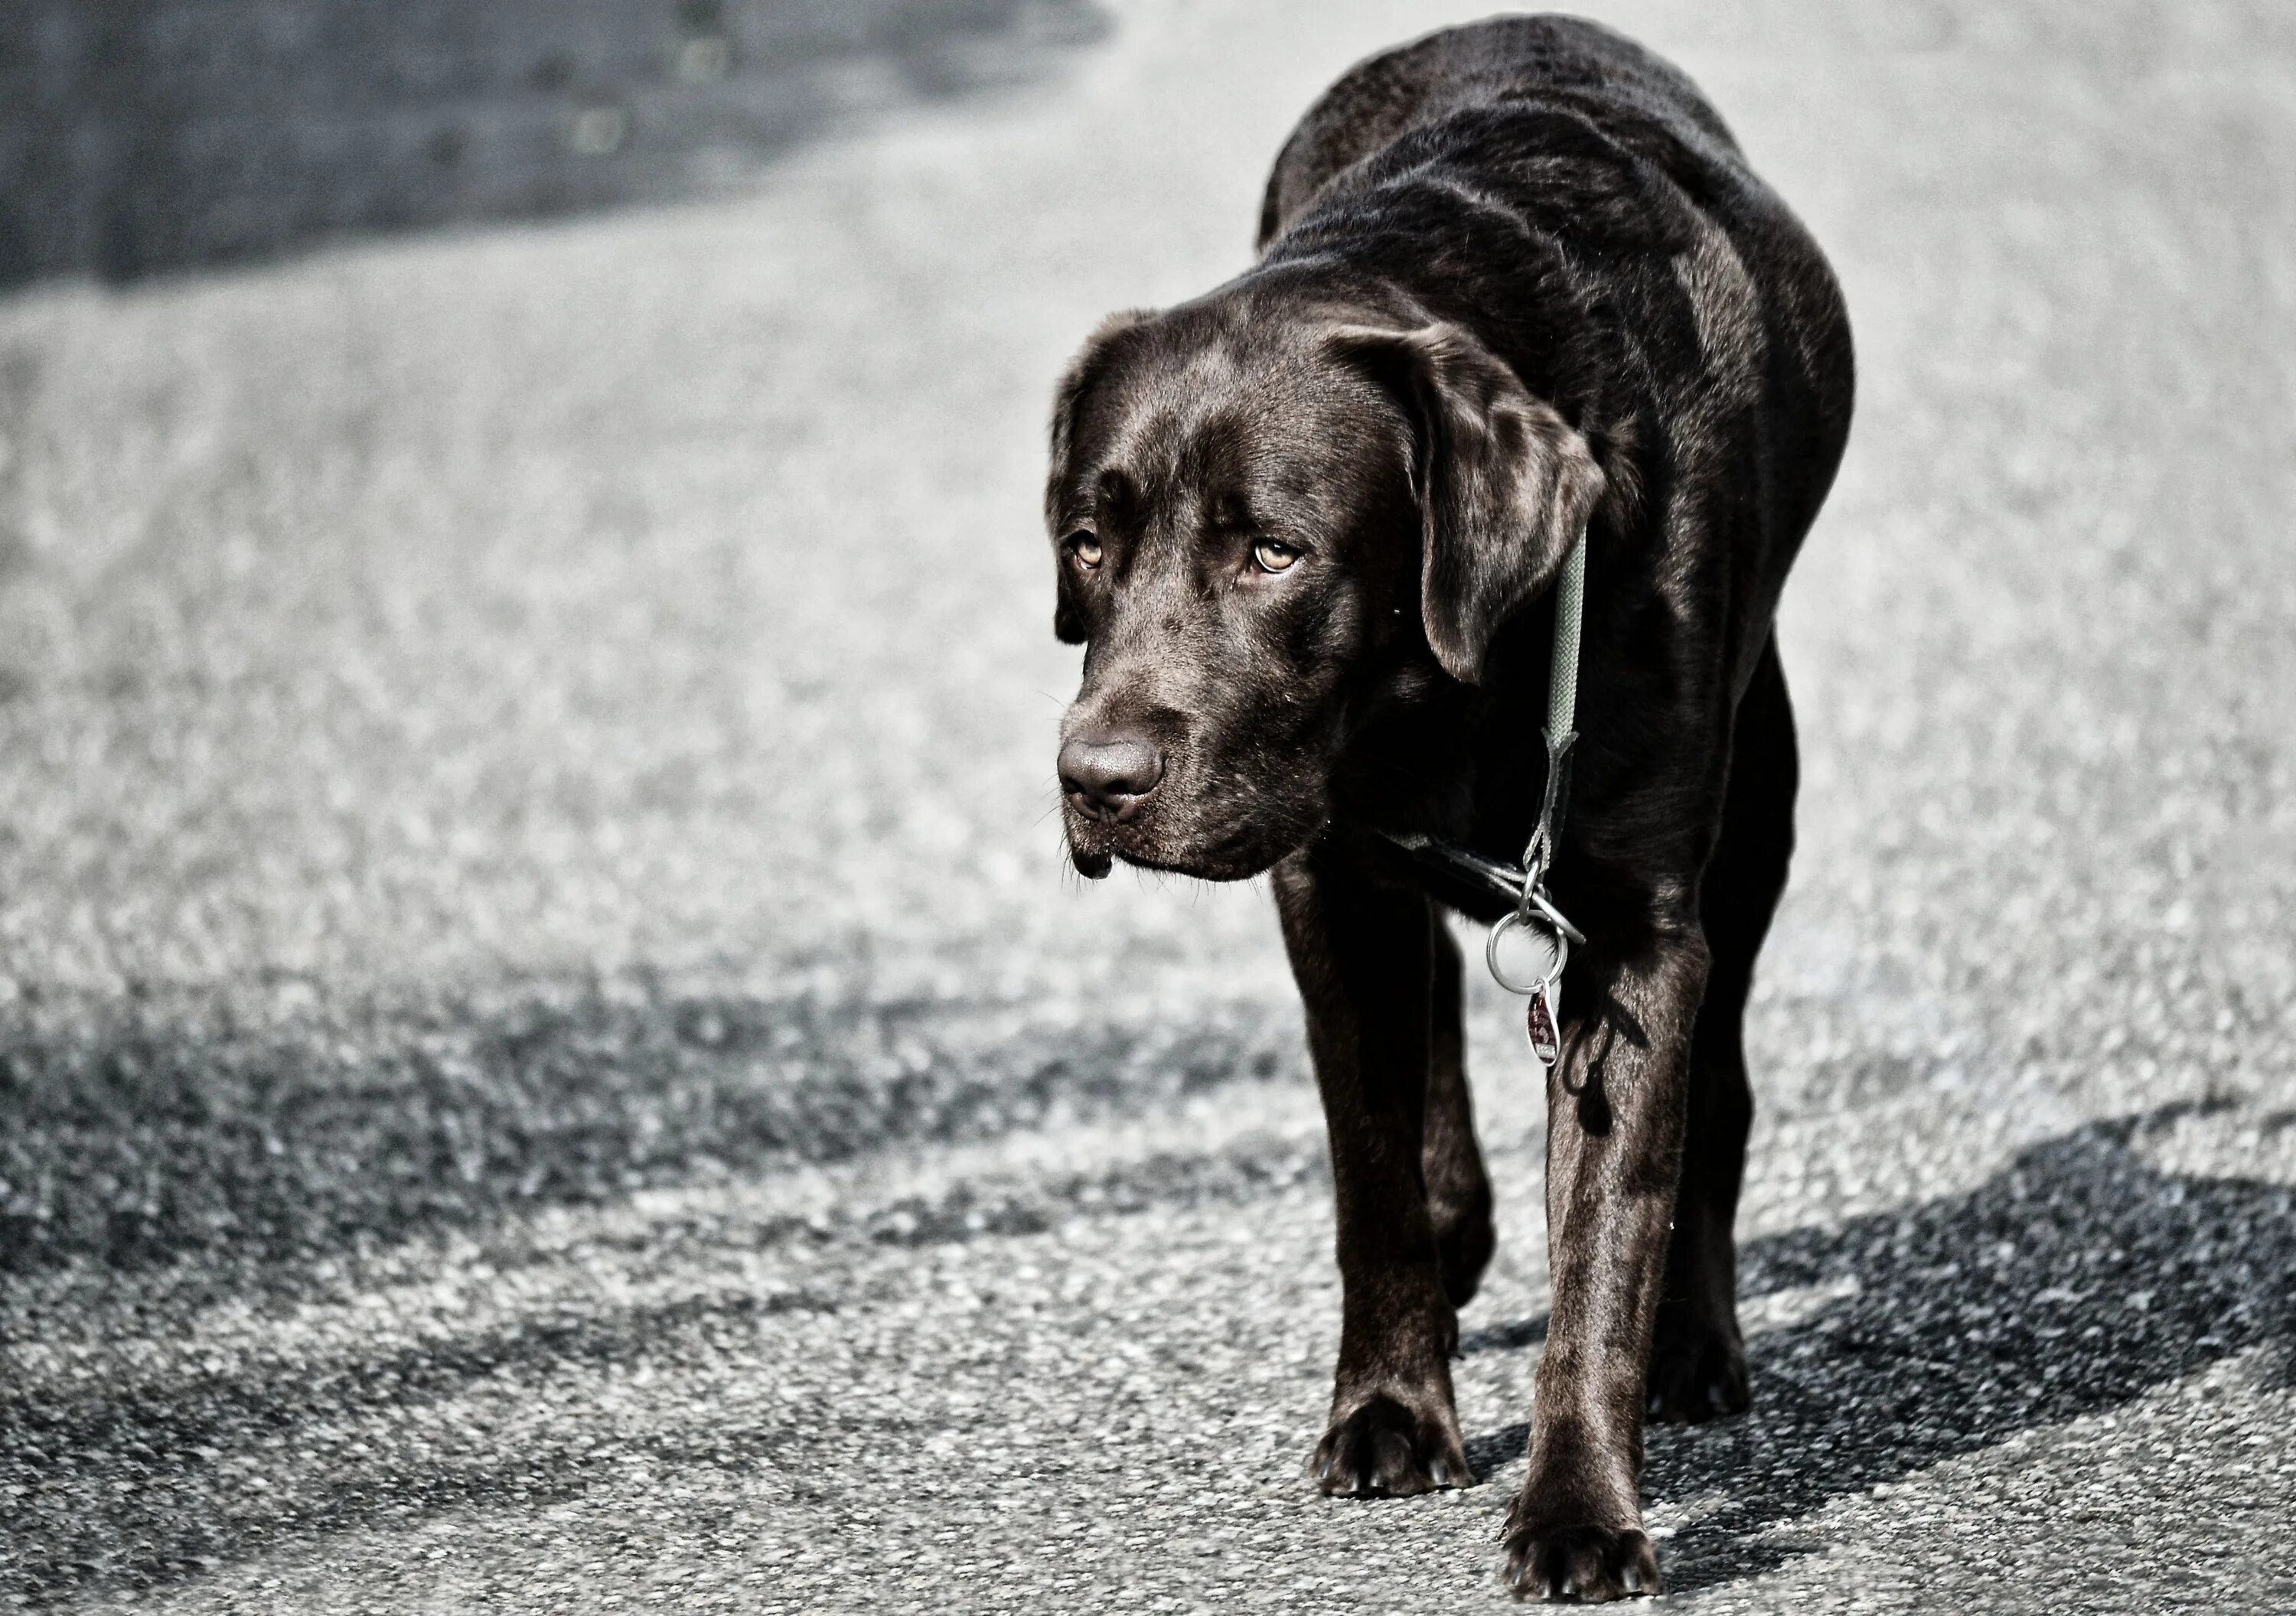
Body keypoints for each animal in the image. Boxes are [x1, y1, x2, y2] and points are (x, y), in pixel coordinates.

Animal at [1042, 15, 1846, 1607]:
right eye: (1091, 540)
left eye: (1273, 551)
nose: (1094, 780)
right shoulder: (1326, 879)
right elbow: (1374, 1167)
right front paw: (1390, 1411)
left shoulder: (1638, 940)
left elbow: (1608, 1230)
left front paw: (1584, 1506)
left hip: (1760, 804)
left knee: (1717, 1091)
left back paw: (1696, 1340)